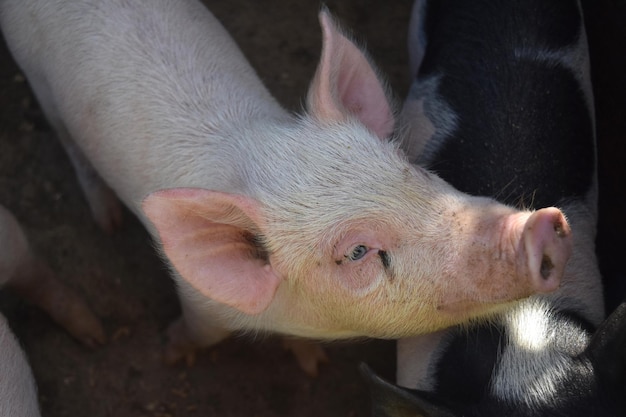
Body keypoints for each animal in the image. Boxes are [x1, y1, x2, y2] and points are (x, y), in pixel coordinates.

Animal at [0, 0, 572, 370]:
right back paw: (107, 221)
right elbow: (197, 335)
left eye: (412, 171)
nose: (543, 225)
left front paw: (310, 364)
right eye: (357, 252)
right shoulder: (200, 302)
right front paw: (168, 351)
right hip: (40, 82)